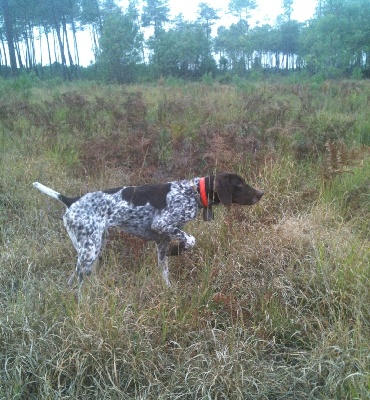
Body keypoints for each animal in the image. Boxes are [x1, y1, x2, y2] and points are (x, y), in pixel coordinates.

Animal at [33, 172, 262, 284]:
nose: (261, 194)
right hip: (89, 251)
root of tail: (71, 201)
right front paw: (178, 250)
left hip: (92, 248)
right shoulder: (162, 224)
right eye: (239, 184)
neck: (193, 191)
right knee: (75, 283)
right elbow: (190, 239)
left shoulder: (162, 240)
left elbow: (165, 272)